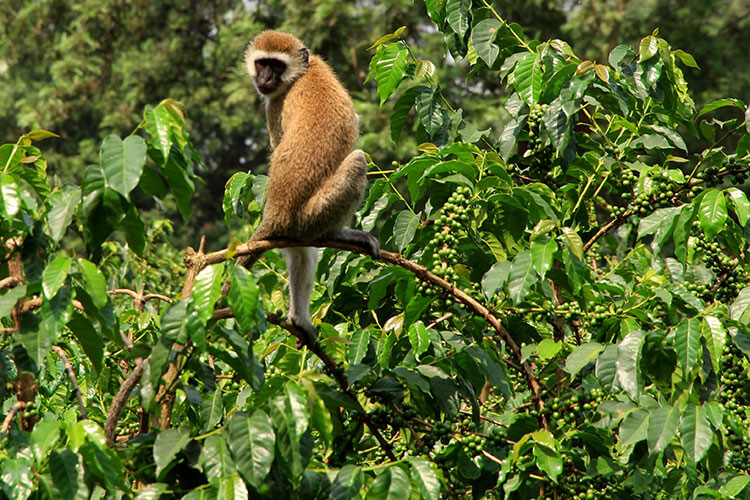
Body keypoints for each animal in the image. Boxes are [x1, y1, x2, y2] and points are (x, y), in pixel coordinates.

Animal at [239, 31, 382, 344]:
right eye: (262, 63)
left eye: (276, 66)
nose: (264, 78)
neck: (303, 72)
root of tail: (276, 213)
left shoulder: (273, 106)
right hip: (304, 220)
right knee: (302, 252)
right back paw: (299, 318)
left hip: (311, 217)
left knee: (356, 161)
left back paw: (337, 234)